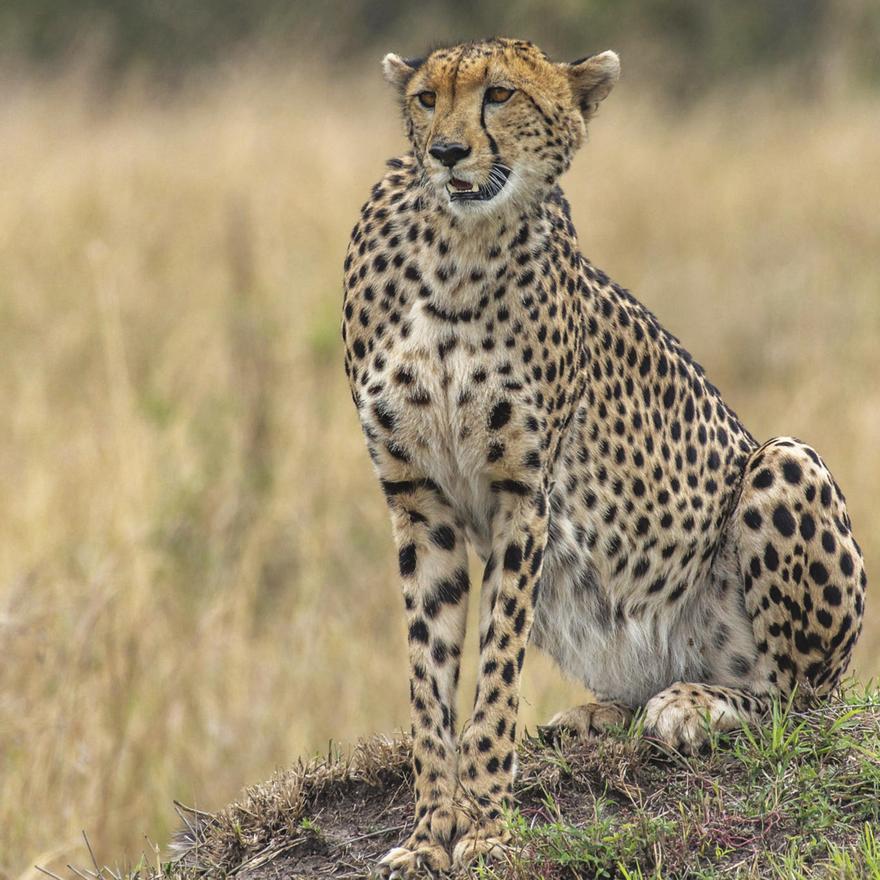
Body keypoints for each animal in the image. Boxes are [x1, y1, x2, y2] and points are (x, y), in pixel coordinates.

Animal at [340, 37, 866, 878]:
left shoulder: (523, 493)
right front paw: (427, 834)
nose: (448, 152)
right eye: (426, 100)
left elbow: (495, 669)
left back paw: (693, 704)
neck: (457, 248)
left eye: (499, 94)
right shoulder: (417, 498)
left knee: (792, 700)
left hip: (785, 462)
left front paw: (484, 825)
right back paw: (598, 716)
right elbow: (430, 678)